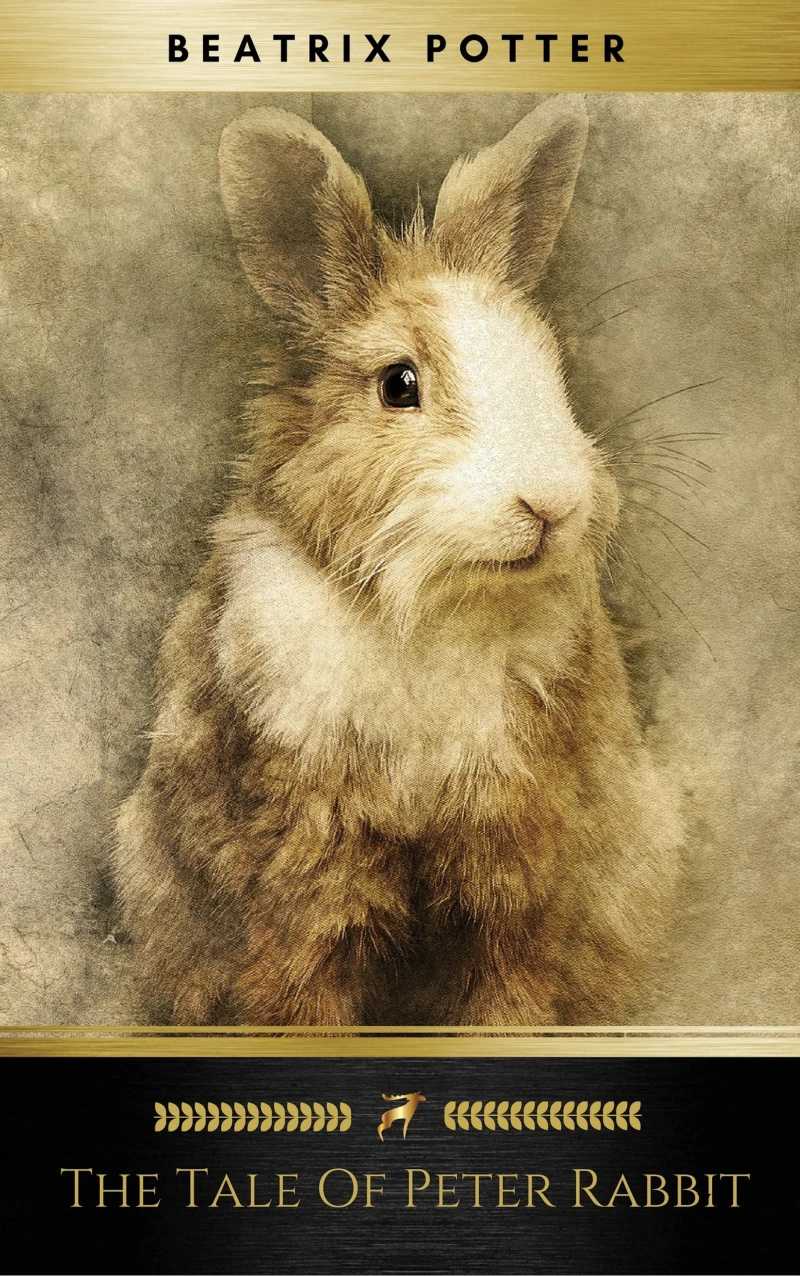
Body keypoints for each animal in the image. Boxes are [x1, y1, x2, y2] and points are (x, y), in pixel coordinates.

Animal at [114, 98, 681, 1026]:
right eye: (398, 385)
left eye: (549, 370)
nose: (551, 502)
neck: (426, 609)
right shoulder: (305, 855)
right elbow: (299, 986)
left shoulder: (519, 851)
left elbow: (511, 982)